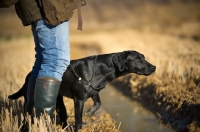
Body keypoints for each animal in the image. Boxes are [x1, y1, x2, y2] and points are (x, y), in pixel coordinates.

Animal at [8, 50, 156, 131]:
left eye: (143, 57)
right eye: (137, 59)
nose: (154, 67)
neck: (102, 69)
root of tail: (29, 74)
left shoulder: (94, 93)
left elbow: (98, 104)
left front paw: (89, 113)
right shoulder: (78, 100)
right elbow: (78, 120)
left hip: (59, 103)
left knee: (63, 117)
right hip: (30, 101)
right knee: (27, 116)